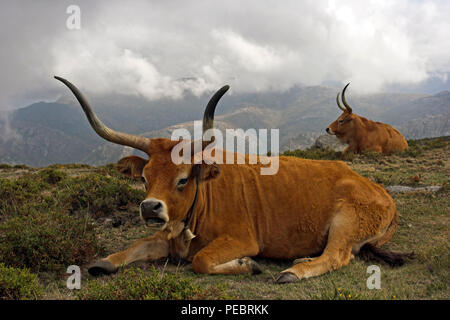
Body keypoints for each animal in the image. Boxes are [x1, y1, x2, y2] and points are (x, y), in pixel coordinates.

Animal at [54, 76, 410, 284]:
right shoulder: (165, 234)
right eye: (144, 178)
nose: (150, 208)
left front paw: (248, 265)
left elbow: (201, 260)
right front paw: (104, 262)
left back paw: (293, 271)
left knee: (337, 256)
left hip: (346, 222)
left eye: (182, 179)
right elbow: (132, 247)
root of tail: (380, 191)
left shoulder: (242, 238)